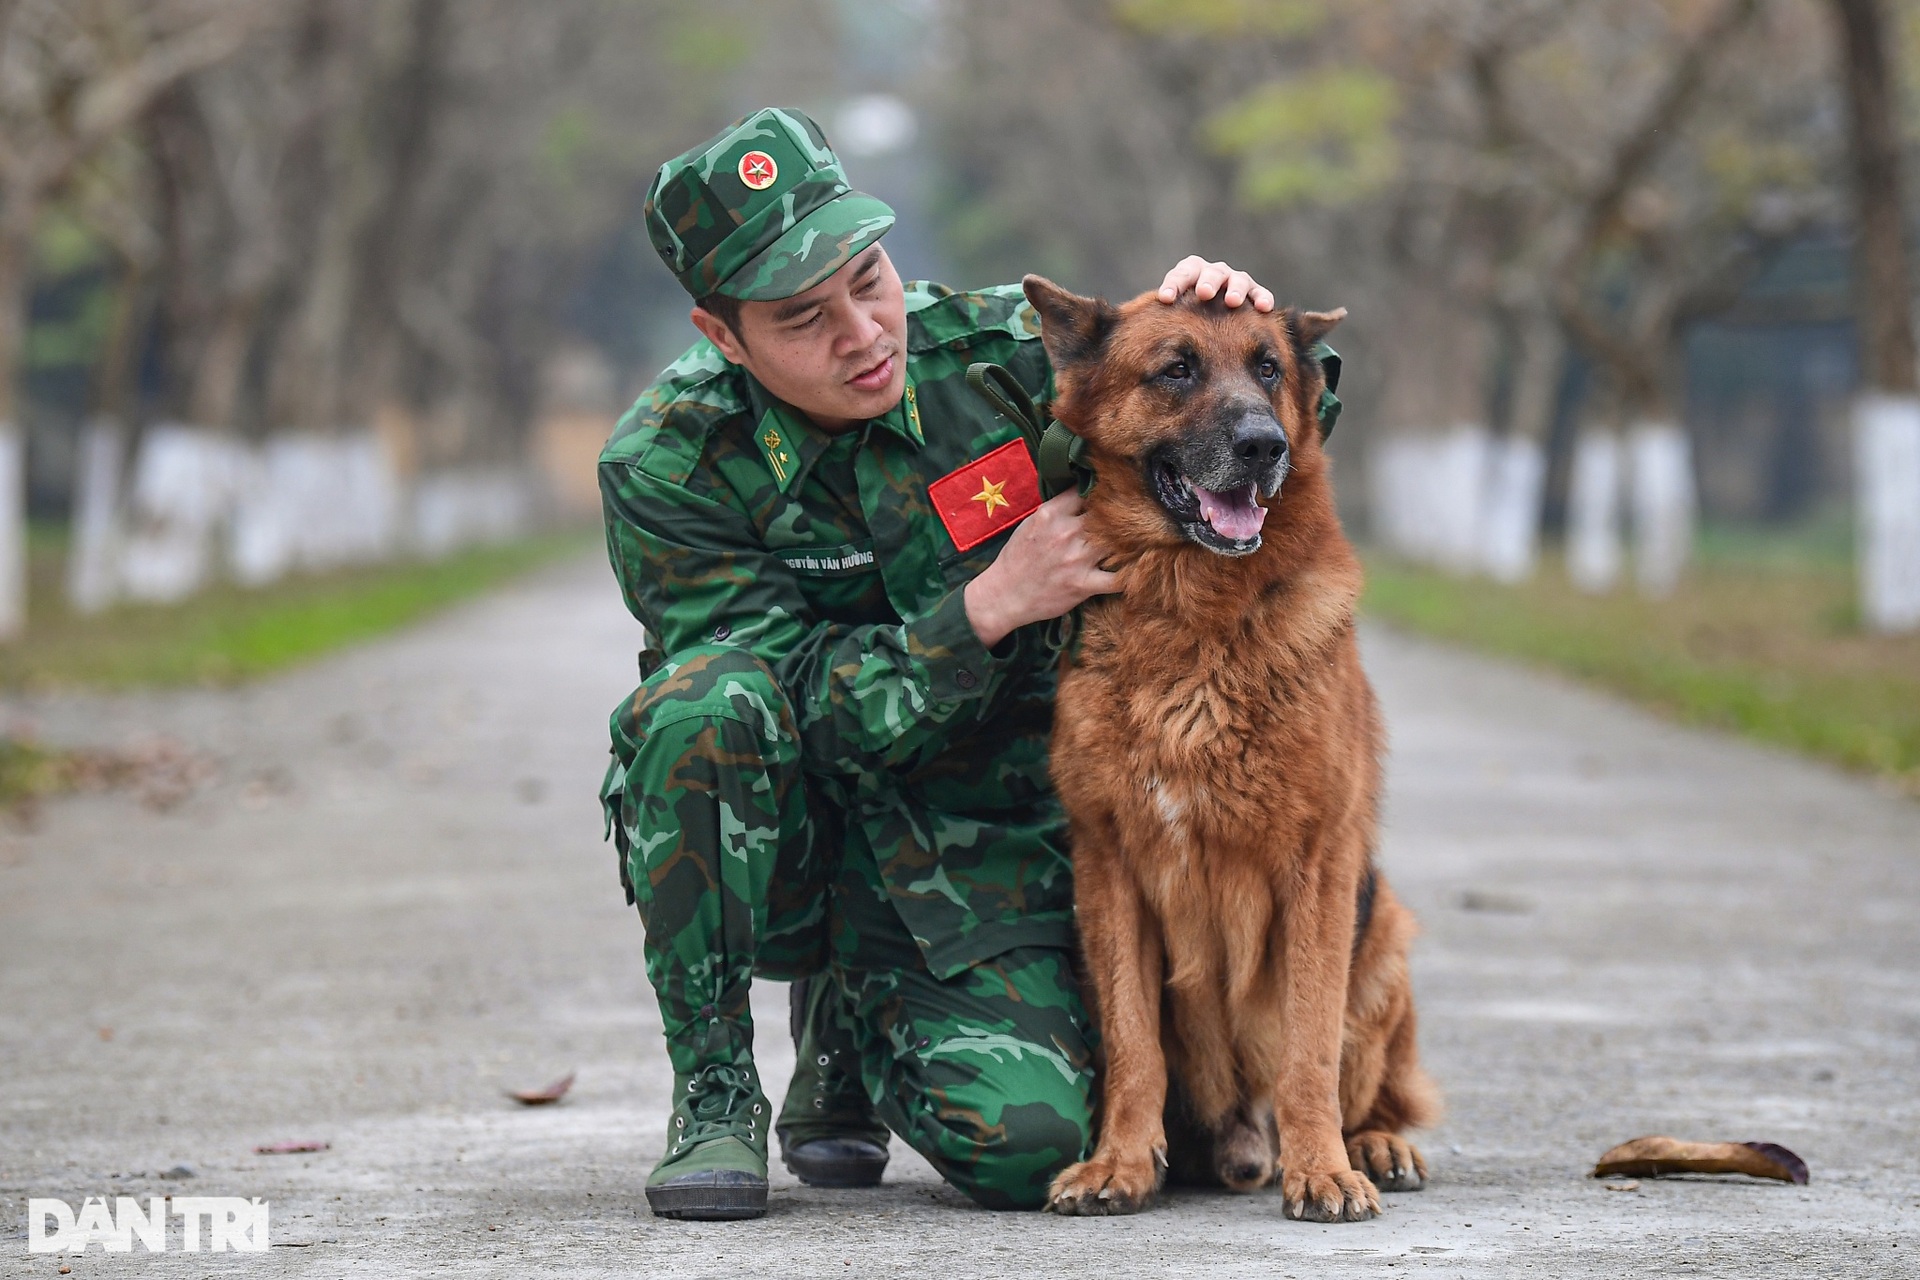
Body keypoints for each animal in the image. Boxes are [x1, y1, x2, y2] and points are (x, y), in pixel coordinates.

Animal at [1029, 278, 1436, 1220]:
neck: (1195, 620)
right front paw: (1121, 1162)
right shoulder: (1110, 870)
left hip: (1384, 937)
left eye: (1269, 369)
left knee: (1376, 1089)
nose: (1264, 446)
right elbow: (1133, 1043)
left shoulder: (1318, 870)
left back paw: (1373, 1145)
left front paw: (1322, 1169)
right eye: (1176, 369)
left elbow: (1309, 1049)